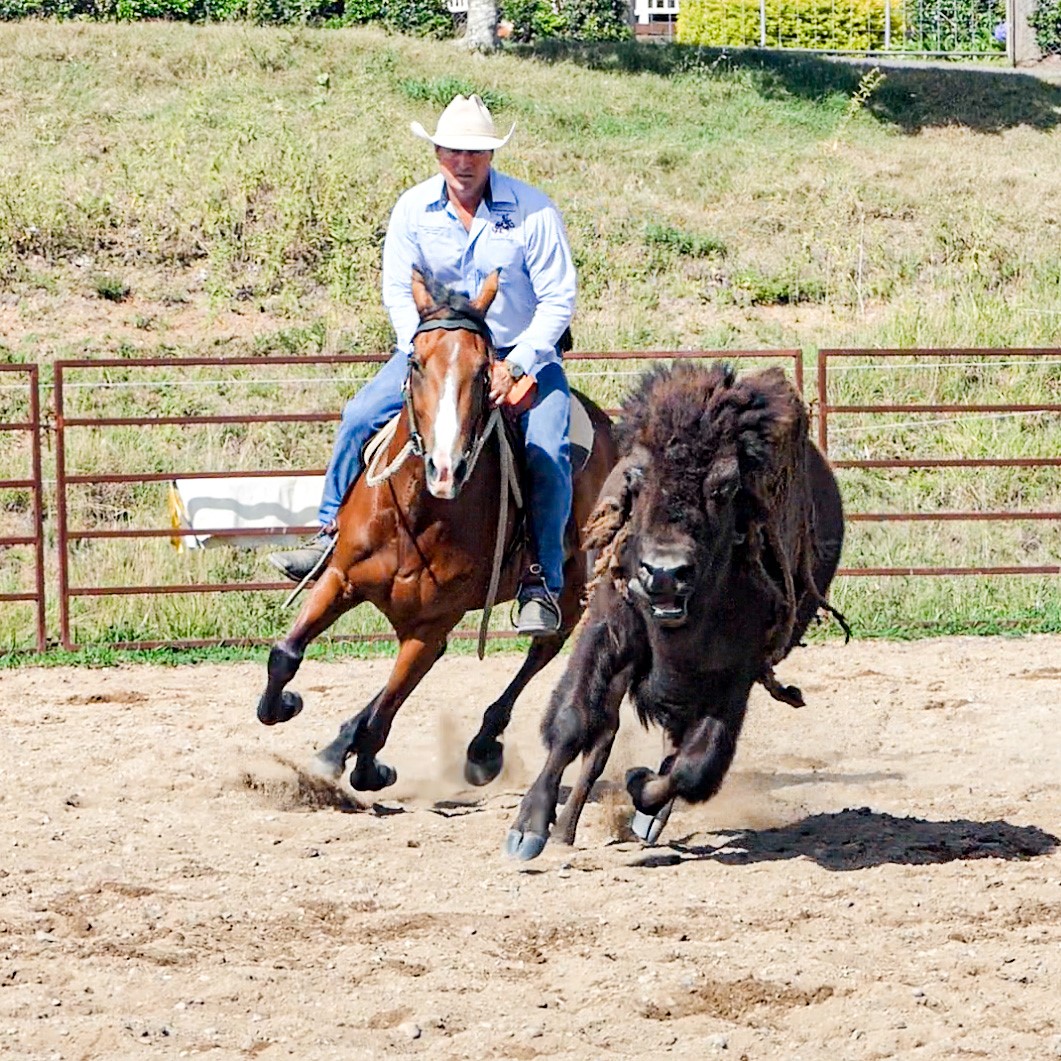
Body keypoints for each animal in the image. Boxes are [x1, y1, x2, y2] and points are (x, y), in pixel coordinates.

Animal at [255, 269, 617, 797]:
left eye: (485, 370)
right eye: (415, 361)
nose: (445, 469)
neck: (417, 515)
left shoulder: (430, 626)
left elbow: (385, 714)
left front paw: (371, 769)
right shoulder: (341, 580)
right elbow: (286, 654)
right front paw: (285, 706)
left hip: (571, 588)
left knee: (544, 647)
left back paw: (482, 747)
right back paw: (337, 746)